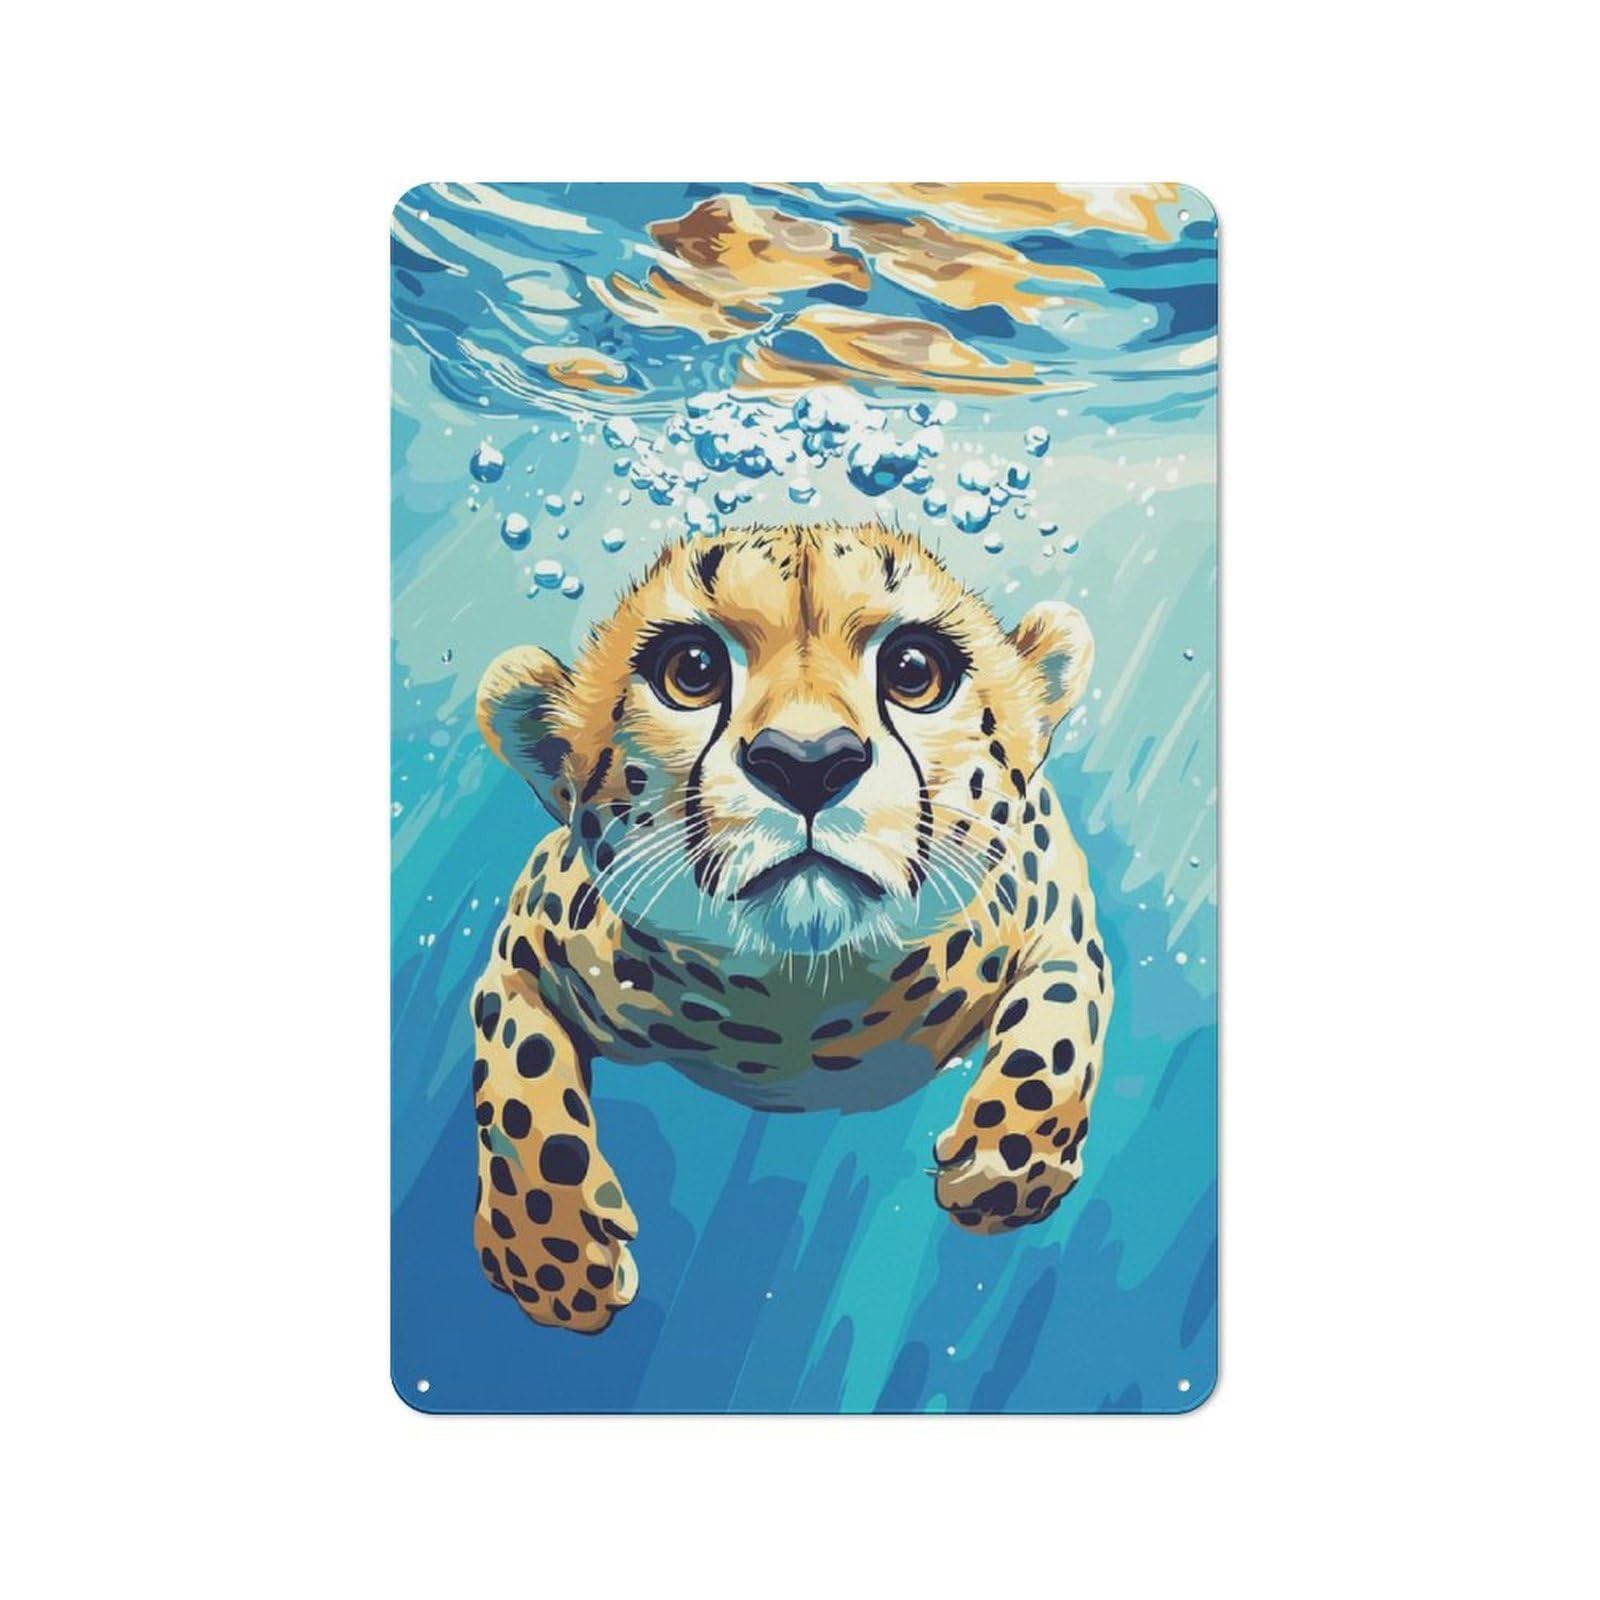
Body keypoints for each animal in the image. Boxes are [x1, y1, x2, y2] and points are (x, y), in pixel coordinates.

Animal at [467, 522, 1112, 1333]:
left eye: (914, 670)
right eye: (692, 669)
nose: (808, 762)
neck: (803, 997)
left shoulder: (1055, 896)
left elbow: (1060, 1015)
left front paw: (1007, 1163)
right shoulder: (523, 943)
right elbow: (517, 1078)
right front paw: (552, 1259)